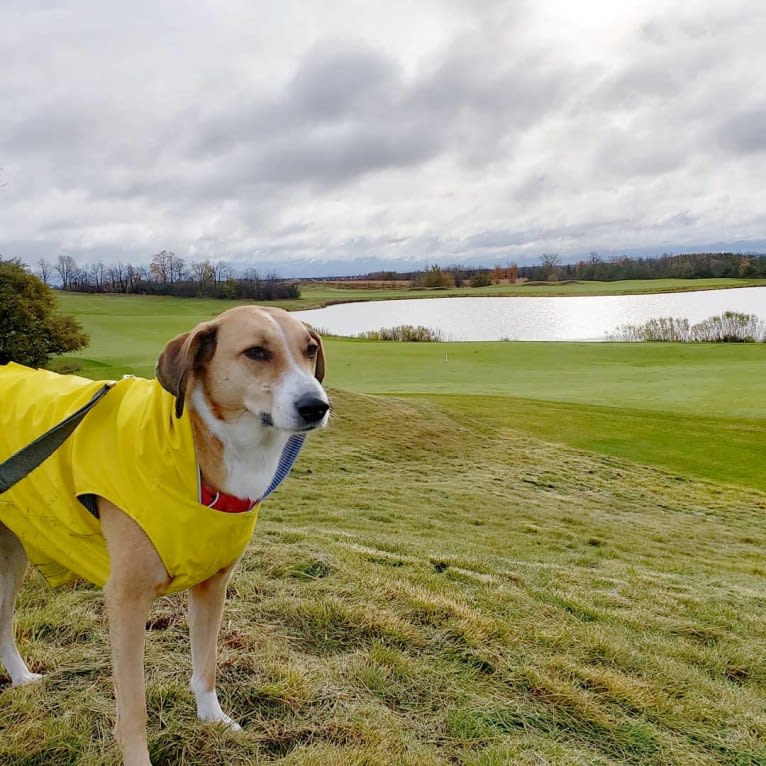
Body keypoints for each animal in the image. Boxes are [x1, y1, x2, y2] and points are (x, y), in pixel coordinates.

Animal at [0, 306, 330, 766]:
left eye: (310, 349)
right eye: (256, 352)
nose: (316, 406)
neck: (194, 452)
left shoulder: (213, 587)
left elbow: (205, 664)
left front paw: (213, 720)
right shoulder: (125, 599)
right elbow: (133, 708)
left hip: (13, 554)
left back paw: (21, 678)